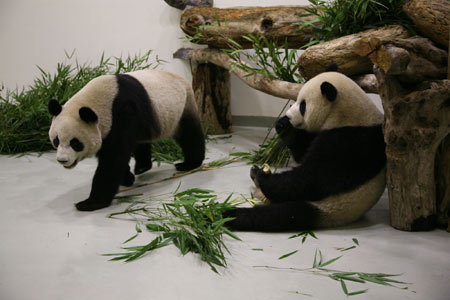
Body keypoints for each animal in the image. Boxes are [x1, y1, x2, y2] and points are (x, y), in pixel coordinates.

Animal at [48, 69, 206, 211]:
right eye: (56, 141)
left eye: (75, 143)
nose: (62, 160)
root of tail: (182, 78)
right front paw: (127, 178)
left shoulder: (122, 113)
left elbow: (113, 158)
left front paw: (90, 203)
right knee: (141, 142)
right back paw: (142, 167)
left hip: (183, 107)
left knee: (189, 135)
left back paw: (189, 164)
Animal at [225, 64, 386, 231]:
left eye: (303, 105)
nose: (289, 115)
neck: (347, 114)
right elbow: (302, 153)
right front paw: (285, 127)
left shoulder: (348, 141)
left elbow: (313, 178)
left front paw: (263, 175)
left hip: (329, 207)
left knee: (283, 214)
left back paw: (231, 214)